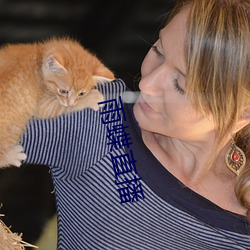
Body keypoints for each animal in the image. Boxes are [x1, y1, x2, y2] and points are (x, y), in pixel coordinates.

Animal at [0, 37, 114, 169]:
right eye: (63, 91)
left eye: (81, 94)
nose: (71, 103)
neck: (39, 59)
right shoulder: (42, 104)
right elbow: (59, 107)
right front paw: (94, 98)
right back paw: (13, 156)